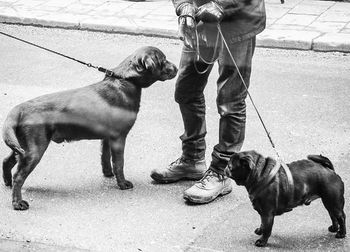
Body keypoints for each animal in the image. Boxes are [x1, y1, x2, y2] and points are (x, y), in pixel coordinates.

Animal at [1, 45, 178, 211]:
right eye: (164, 60)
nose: (176, 68)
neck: (127, 80)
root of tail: (20, 108)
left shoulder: (107, 137)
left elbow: (105, 158)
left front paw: (108, 174)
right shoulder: (119, 137)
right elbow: (119, 163)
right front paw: (122, 184)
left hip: (22, 147)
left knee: (6, 161)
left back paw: (7, 183)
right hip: (35, 149)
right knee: (19, 176)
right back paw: (17, 202)